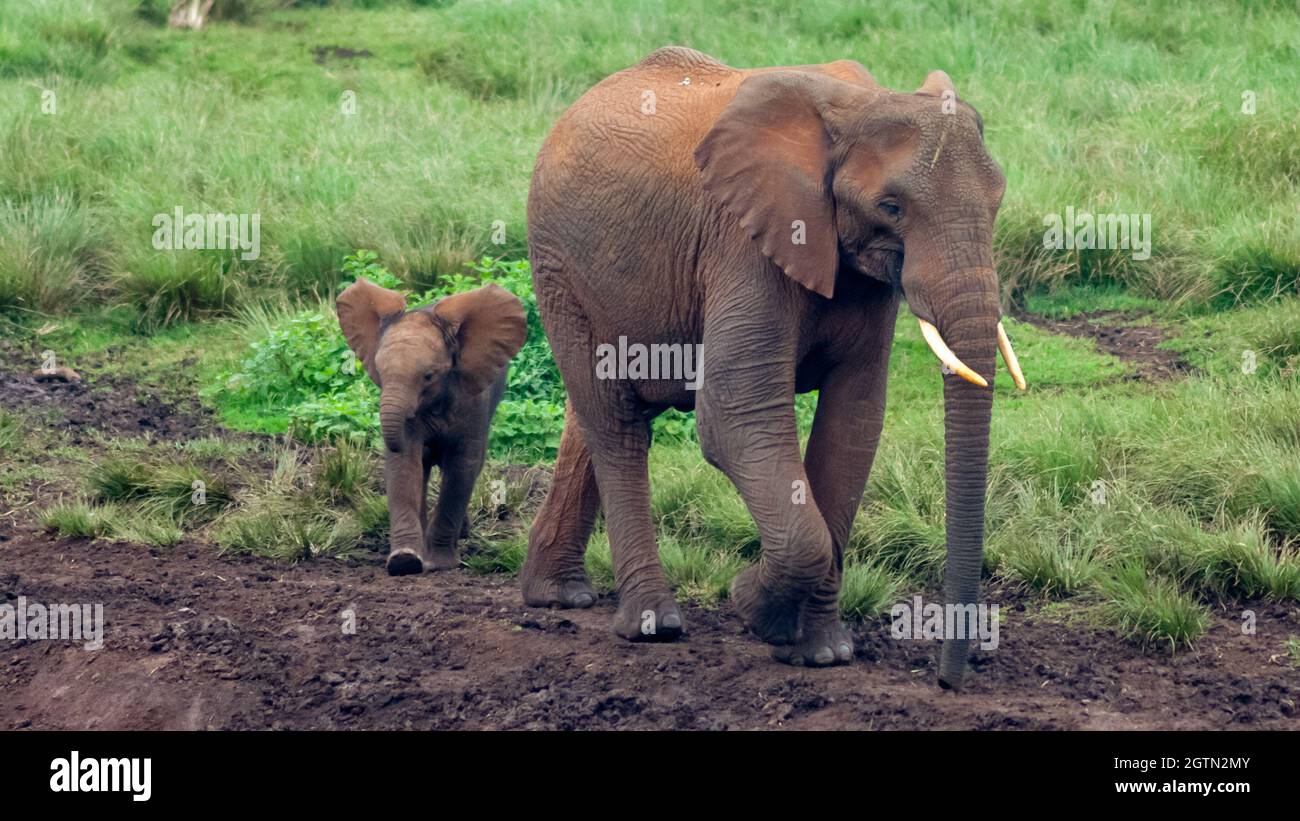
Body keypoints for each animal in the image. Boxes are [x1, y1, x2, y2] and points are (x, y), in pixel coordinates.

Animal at [338, 279, 525, 574]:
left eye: (428, 376)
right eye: (379, 373)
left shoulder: (472, 401)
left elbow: (462, 466)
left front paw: (439, 564)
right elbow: (405, 464)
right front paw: (405, 561)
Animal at [520, 46, 1024, 685]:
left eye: (998, 202)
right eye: (891, 207)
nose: (945, 679)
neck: (861, 106)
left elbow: (854, 422)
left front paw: (821, 653)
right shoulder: (744, 239)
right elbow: (735, 415)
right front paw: (750, 606)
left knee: (590, 418)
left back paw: (557, 597)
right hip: (558, 263)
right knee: (616, 425)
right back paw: (652, 626)